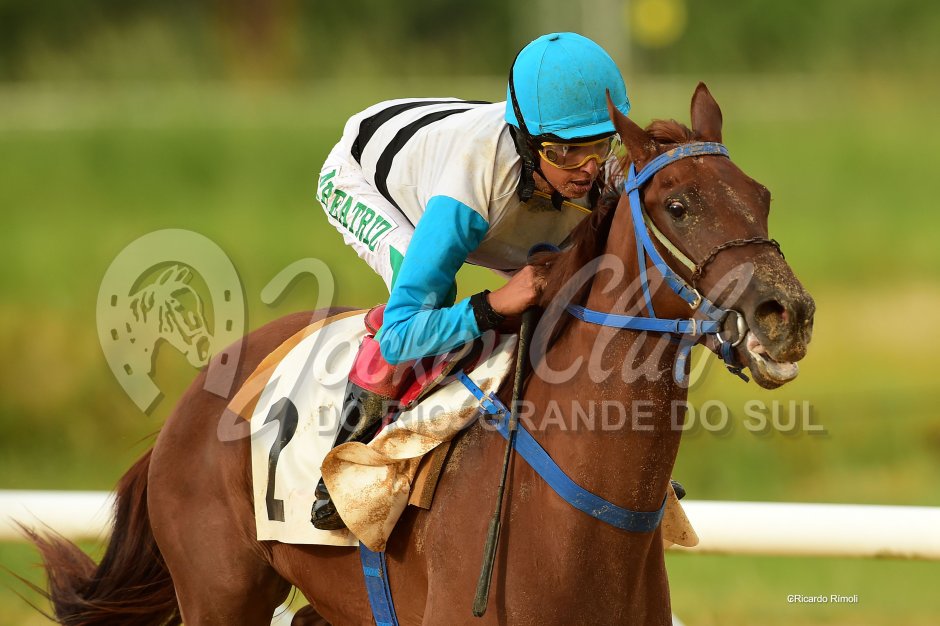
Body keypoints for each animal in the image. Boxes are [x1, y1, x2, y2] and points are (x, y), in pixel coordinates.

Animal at [25, 83, 814, 625]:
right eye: (678, 206)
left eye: (763, 196)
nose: (788, 315)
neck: (588, 523)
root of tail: (188, 405)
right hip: (220, 595)